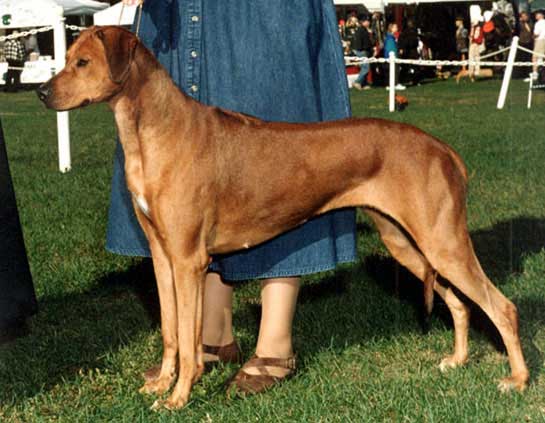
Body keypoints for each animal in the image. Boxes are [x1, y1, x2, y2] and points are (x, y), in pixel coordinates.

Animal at [37, 26, 528, 410]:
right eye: (66, 57)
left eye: (82, 62)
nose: (42, 92)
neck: (154, 130)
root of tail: (444, 149)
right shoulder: (162, 257)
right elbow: (172, 332)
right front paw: (161, 383)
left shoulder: (188, 261)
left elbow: (190, 342)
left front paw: (179, 397)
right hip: (408, 244)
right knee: (460, 302)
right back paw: (458, 360)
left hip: (441, 243)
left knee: (501, 306)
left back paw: (518, 380)